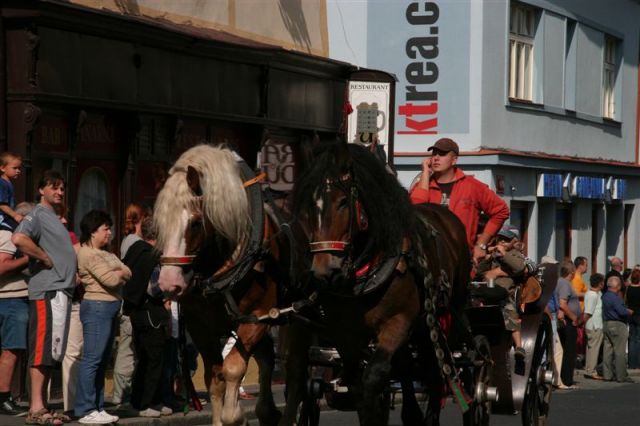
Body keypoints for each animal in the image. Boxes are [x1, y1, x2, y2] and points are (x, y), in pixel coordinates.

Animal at [154, 145, 290, 424]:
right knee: (266, 356)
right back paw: (267, 410)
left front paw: (234, 415)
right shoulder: (201, 325)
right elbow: (215, 378)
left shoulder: (259, 316)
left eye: (195, 223)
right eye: (160, 222)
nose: (169, 283)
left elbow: (233, 367)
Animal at [282, 141, 472, 424]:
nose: (324, 271)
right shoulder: (345, 333)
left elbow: (374, 375)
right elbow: (357, 384)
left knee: (438, 370)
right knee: (407, 366)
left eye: (342, 203)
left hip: (443, 316)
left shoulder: (398, 322)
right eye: (309, 208)